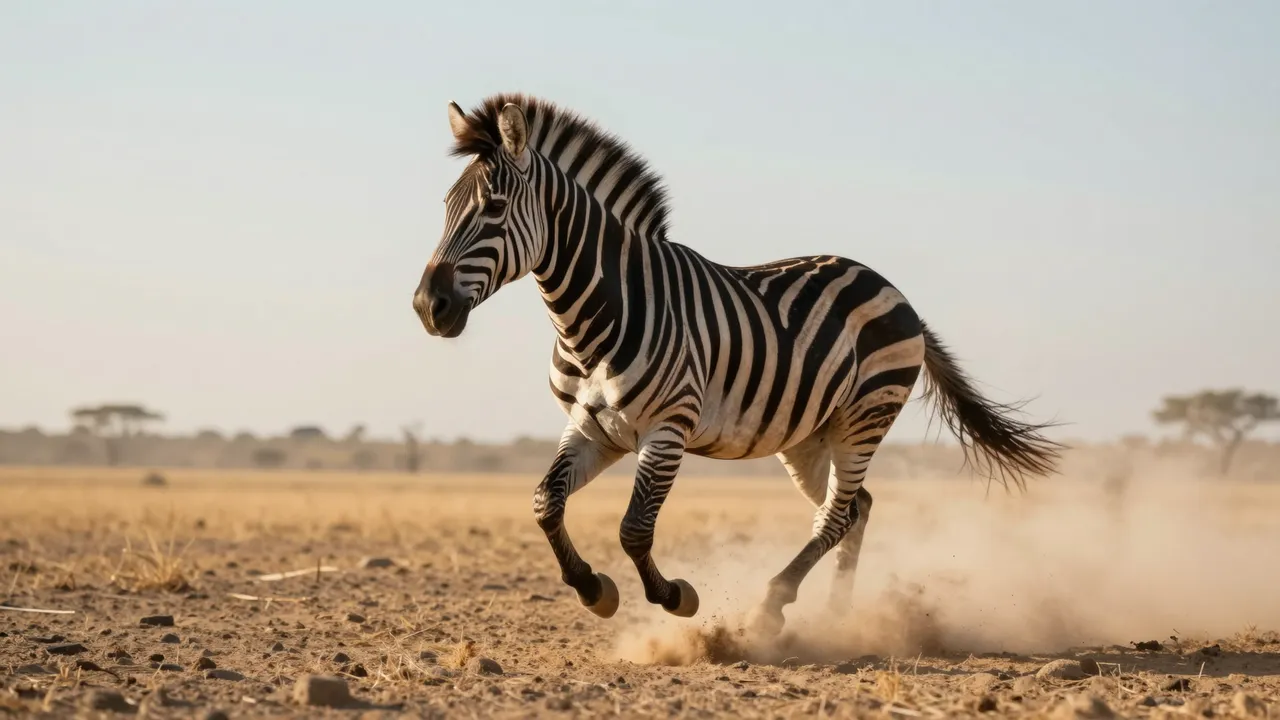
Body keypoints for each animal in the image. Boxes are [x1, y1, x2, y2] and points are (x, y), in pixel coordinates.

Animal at [412, 93, 1063, 635]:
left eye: (494, 209)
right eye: (445, 207)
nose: (426, 306)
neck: (594, 321)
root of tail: (890, 288)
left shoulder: (668, 428)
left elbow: (634, 528)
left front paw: (676, 597)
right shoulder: (593, 427)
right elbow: (545, 503)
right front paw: (594, 590)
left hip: (865, 417)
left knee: (835, 517)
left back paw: (774, 605)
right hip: (809, 434)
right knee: (854, 510)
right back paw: (839, 614)